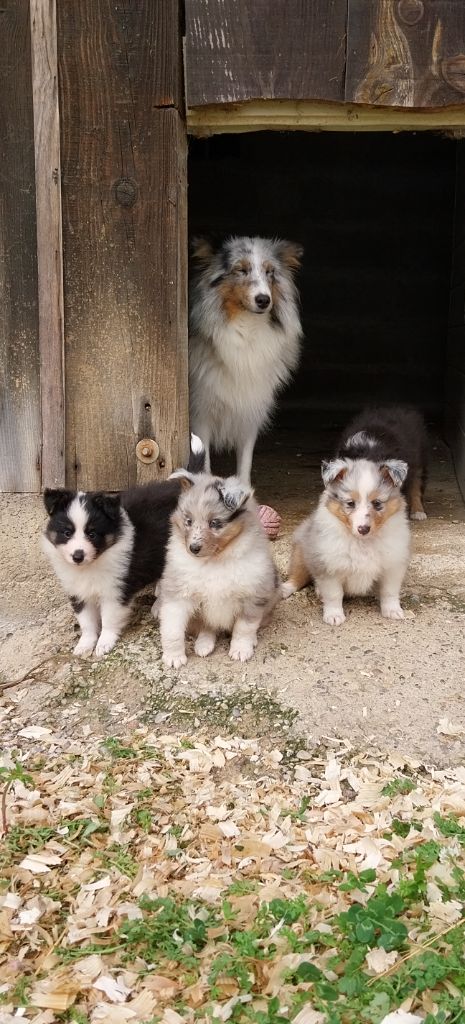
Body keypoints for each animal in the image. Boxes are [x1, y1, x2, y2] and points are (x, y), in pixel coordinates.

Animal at [40, 436, 204, 659]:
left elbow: (109, 619)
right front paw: (85, 645)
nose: (78, 556)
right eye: (67, 533)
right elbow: (86, 622)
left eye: (92, 534)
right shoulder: (78, 591)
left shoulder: (115, 590)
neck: (93, 565)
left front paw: (104, 644)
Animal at [156, 473, 280, 671]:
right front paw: (173, 657)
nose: (193, 548)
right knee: (208, 627)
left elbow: (244, 627)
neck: (214, 561)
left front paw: (241, 650)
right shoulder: (177, 595)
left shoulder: (252, 596)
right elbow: (172, 629)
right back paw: (203, 645)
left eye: (214, 523)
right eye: (188, 521)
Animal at [189, 237, 305, 485]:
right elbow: (204, 462)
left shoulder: (251, 406)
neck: (246, 329)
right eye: (241, 270)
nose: (263, 300)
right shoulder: (200, 412)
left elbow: (245, 460)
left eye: (270, 272)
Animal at [280, 409, 415, 618]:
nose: (363, 529)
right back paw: (286, 589)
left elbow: (389, 592)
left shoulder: (392, 565)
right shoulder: (328, 565)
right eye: (350, 504)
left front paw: (393, 611)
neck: (362, 542)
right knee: (297, 576)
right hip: (302, 553)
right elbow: (334, 594)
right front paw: (334, 616)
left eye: (377, 503)